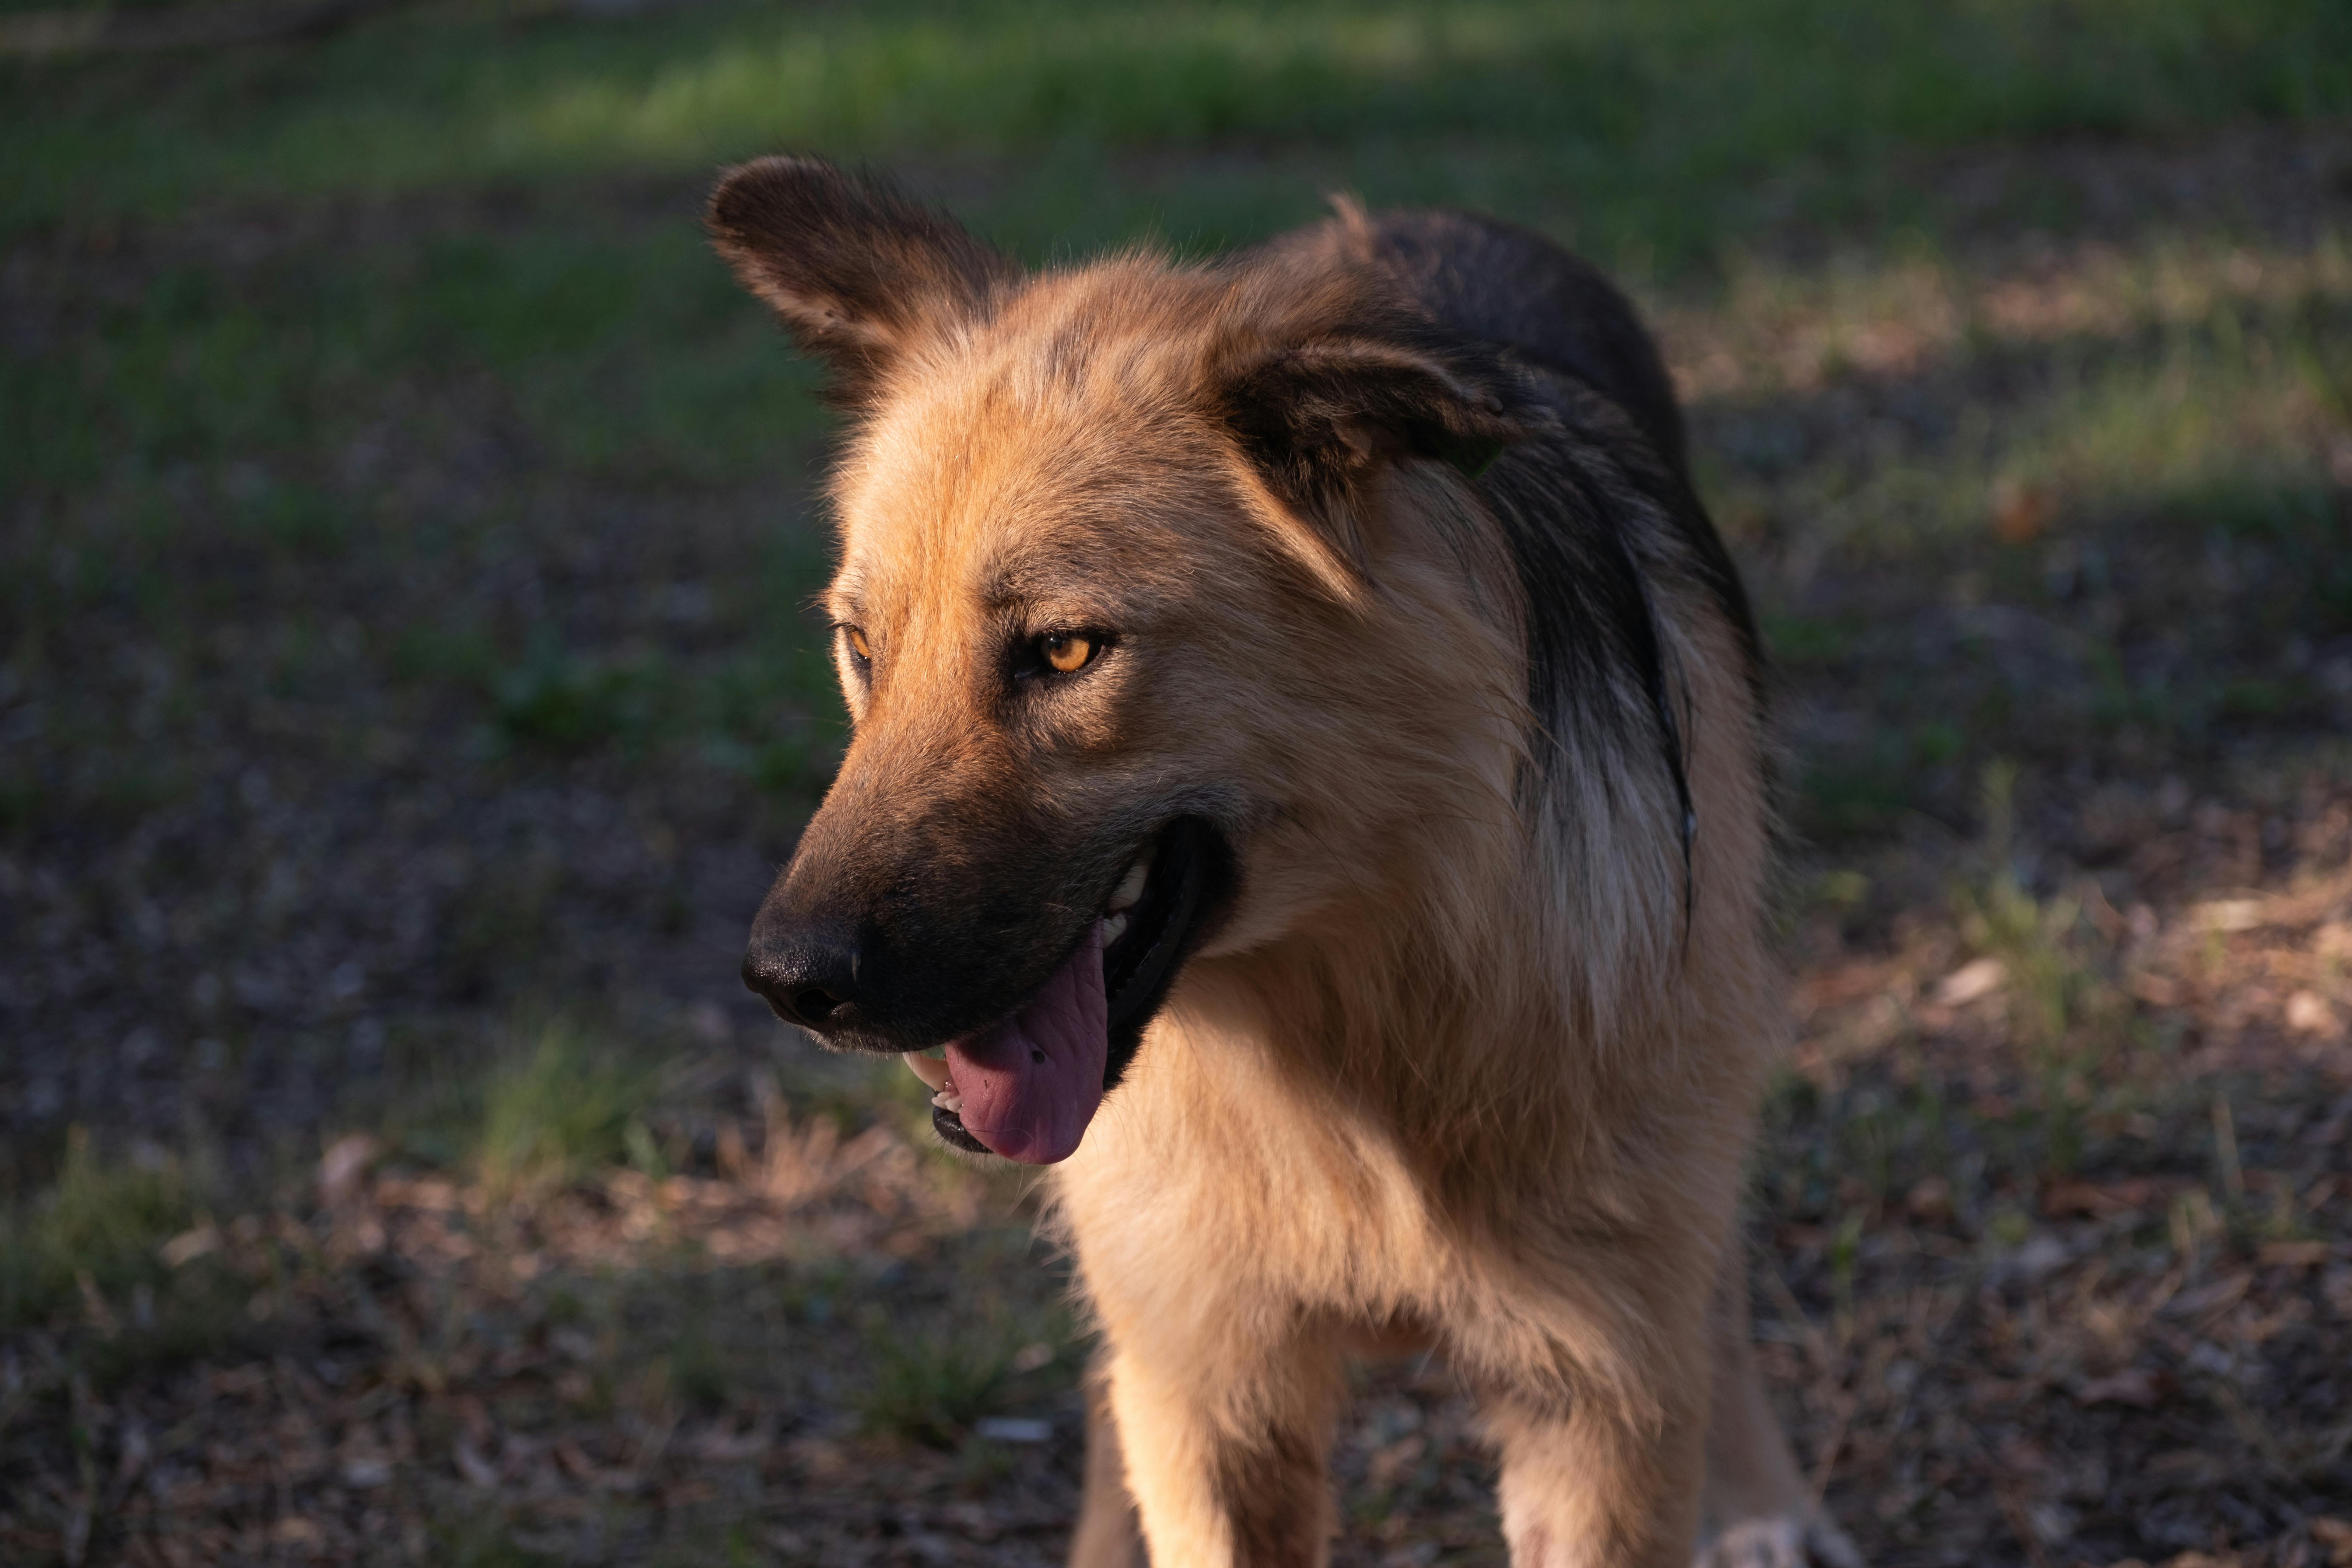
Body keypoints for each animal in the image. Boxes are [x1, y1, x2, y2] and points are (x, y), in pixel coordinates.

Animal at [715, 156, 1853, 1568]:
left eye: (1066, 651)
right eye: (863, 647)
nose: (788, 981)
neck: (1356, 1033)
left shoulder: (1596, 1397)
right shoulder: (1213, 1392)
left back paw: (1758, 1494)